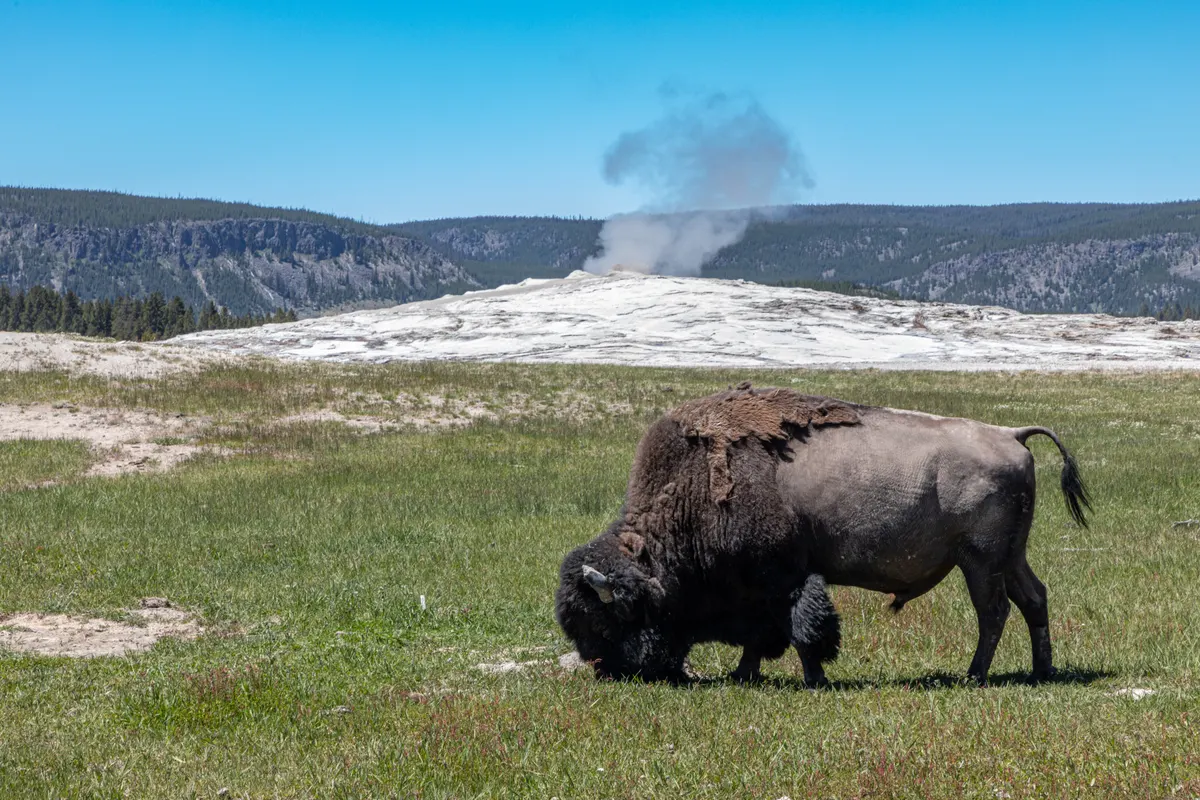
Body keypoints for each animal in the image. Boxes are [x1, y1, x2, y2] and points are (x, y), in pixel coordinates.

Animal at [555, 385, 1090, 685]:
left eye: (607, 621)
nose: (605, 669)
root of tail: (1011, 434)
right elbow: (766, 635)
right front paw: (745, 674)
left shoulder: (783, 581)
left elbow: (799, 629)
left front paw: (811, 678)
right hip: (1009, 558)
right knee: (1033, 599)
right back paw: (1041, 672)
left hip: (980, 562)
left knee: (994, 612)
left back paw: (974, 676)